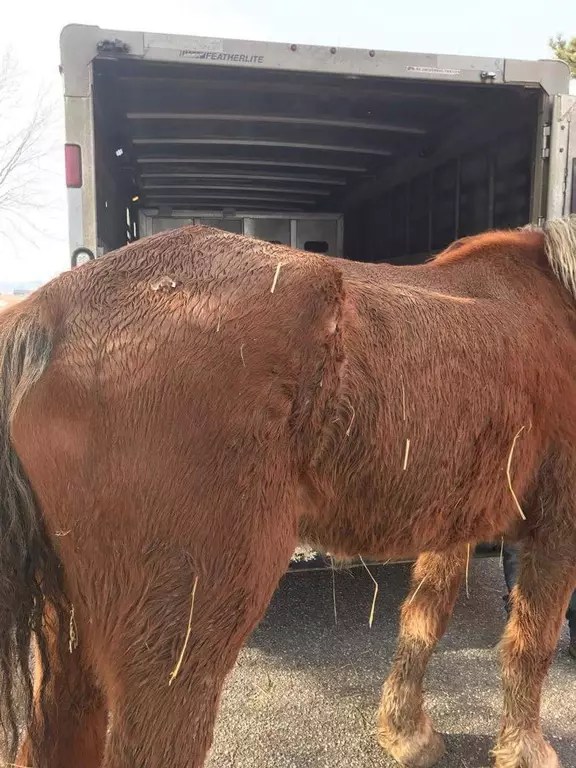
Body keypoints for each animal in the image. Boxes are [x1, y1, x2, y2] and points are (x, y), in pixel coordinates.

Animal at [1, 217, 575, 768]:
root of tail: (45, 310)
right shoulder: (556, 531)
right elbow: (531, 642)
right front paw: (525, 750)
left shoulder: (453, 525)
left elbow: (423, 620)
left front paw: (406, 732)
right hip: (182, 641)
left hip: (72, 629)